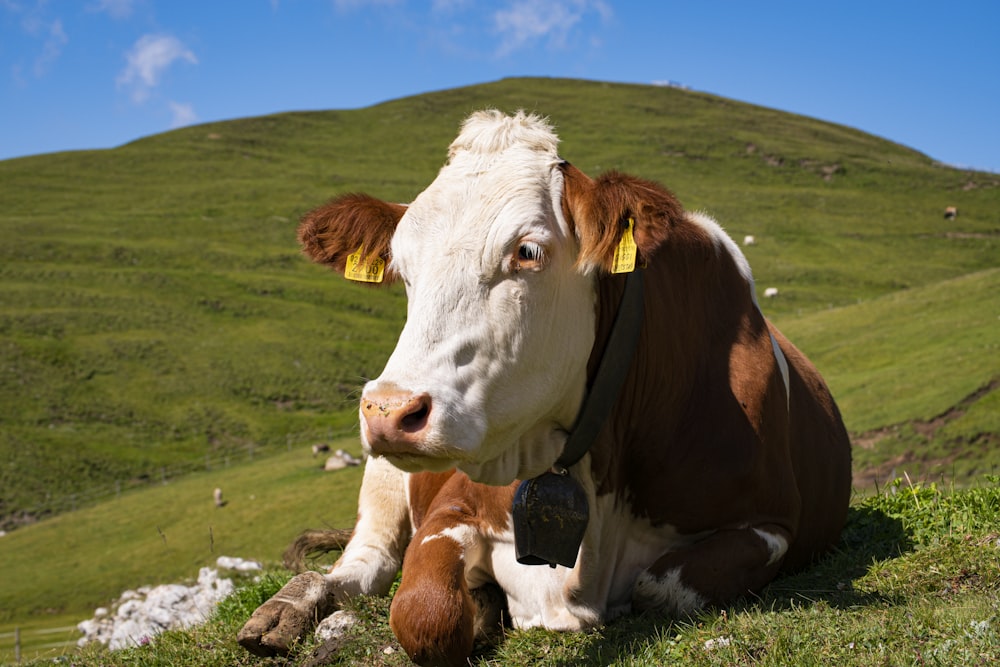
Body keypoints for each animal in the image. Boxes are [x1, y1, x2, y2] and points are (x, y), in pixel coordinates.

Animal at [236, 111, 852, 667]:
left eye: (526, 251)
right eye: (402, 268)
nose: (388, 410)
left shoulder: (772, 522)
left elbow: (659, 587)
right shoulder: (451, 503)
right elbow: (424, 610)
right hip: (382, 481)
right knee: (359, 565)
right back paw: (287, 611)